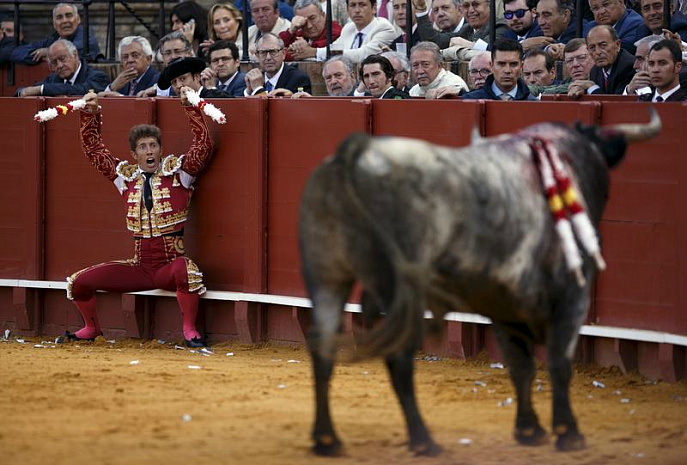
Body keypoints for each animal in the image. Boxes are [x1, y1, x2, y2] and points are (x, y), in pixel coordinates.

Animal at [298, 110, 664, 454]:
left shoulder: (503, 305)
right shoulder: (573, 294)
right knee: (397, 354)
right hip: (401, 292)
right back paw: (423, 441)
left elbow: (520, 366)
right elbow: (558, 362)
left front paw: (529, 431)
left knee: (323, 348)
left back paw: (327, 440)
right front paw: (568, 433)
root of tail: (356, 154)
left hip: (327, 278)